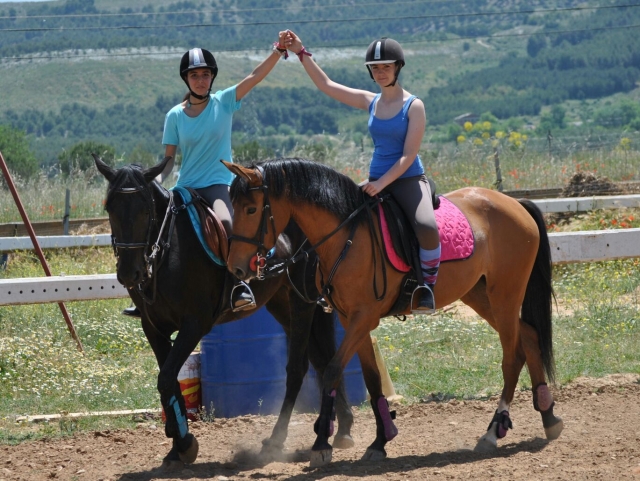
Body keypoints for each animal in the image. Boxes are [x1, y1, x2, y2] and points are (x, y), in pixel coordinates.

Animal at [93, 157, 358, 468]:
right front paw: (176, 446)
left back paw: (279, 441)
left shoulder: (195, 324)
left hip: (301, 300)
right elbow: (168, 380)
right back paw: (340, 429)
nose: (129, 273)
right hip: (282, 303)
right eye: (110, 209)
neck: (168, 251)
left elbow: (167, 378)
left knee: (299, 367)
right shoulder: (153, 327)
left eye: (145, 210)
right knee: (322, 359)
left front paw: (185, 443)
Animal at [222, 158, 564, 464]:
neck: (346, 236)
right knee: (529, 336)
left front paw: (322, 444)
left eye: (251, 209)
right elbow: (372, 379)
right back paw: (549, 417)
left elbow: (332, 369)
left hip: (505, 294)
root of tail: (515, 203)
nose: (236, 267)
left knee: (512, 357)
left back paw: (493, 431)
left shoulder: (363, 317)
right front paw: (380, 440)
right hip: (480, 295)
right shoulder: (350, 319)